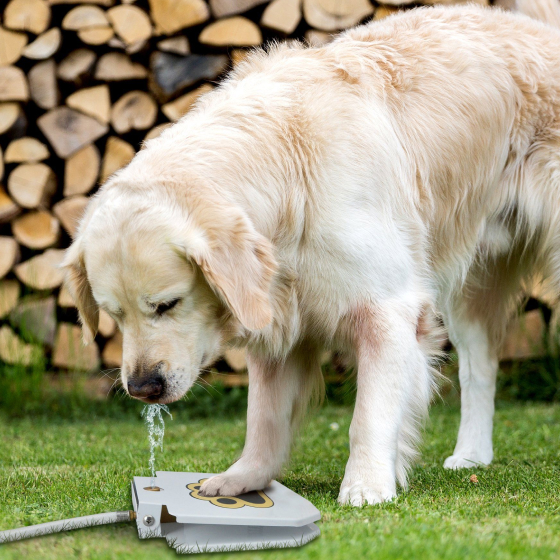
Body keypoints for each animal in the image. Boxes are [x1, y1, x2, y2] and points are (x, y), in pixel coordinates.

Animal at [63, 1, 560, 508]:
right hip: (468, 283)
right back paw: (472, 455)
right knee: (481, 365)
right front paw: (245, 478)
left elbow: (369, 415)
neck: (286, 168)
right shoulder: (278, 317)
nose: (143, 388)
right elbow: (263, 416)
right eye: (113, 316)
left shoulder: (387, 309)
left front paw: (366, 485)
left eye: (168, 305)